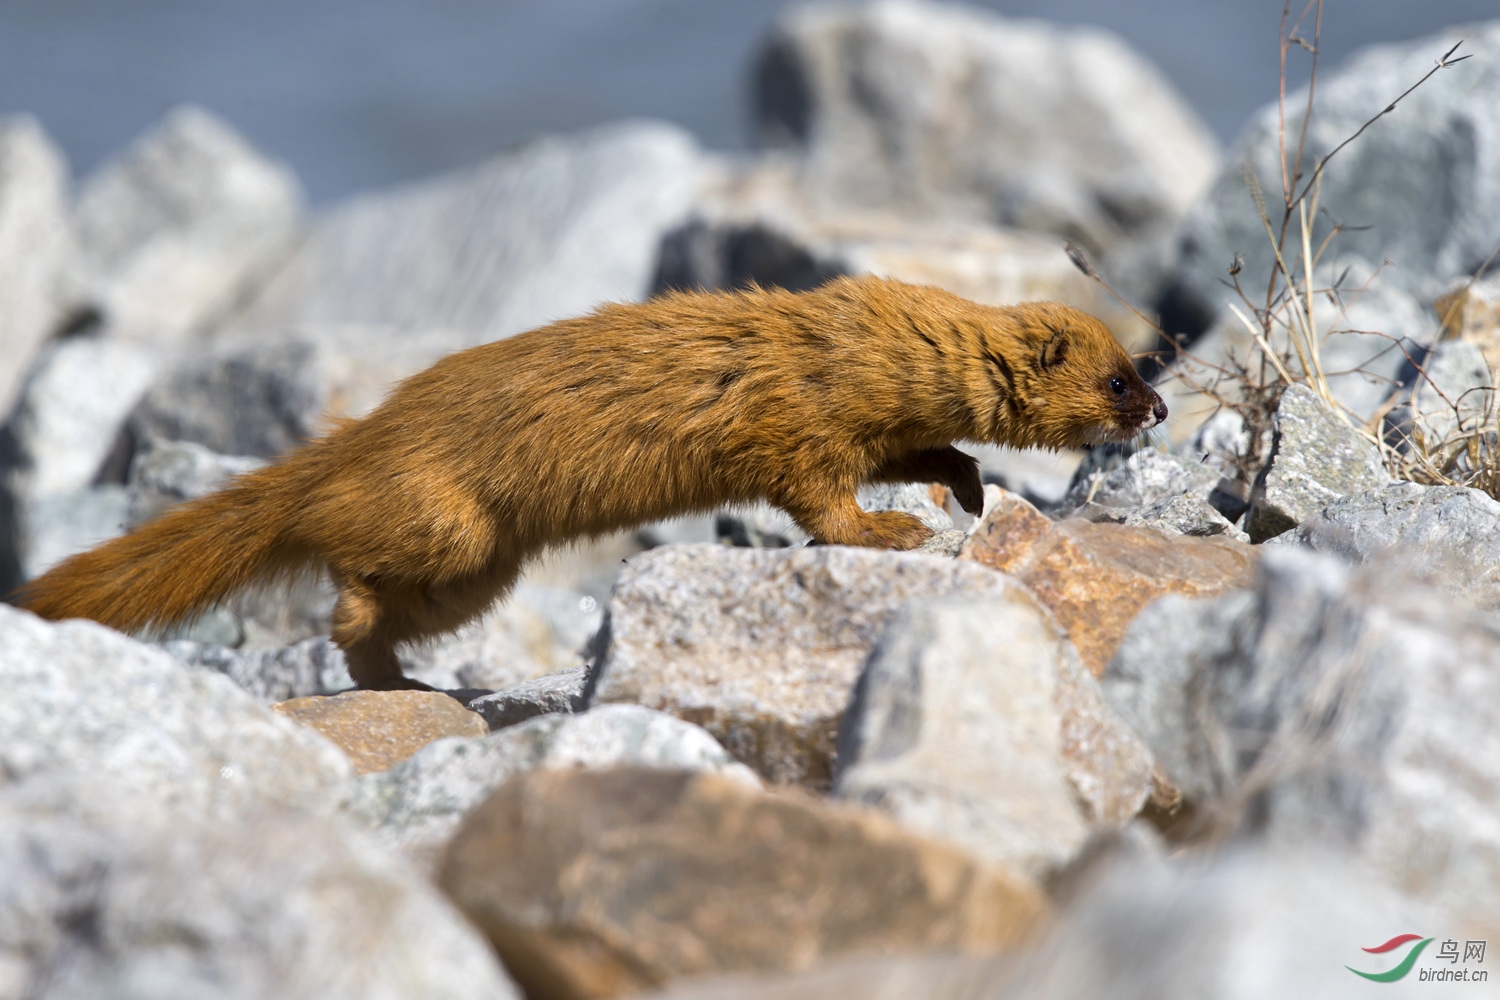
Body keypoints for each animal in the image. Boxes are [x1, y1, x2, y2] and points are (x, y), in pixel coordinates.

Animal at [26, 277, 1170, 692]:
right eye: (1121, 376)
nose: (1163, 411)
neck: (877, 344)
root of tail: (356, 435)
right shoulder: (796, 423)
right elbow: (818, 499)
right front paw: (891, 534)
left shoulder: (871, 425)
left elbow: (916, 453)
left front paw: (966, 486)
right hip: (441, 516)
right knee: (346, 568)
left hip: (481, 570)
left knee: (387, 614)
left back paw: (398, 680)